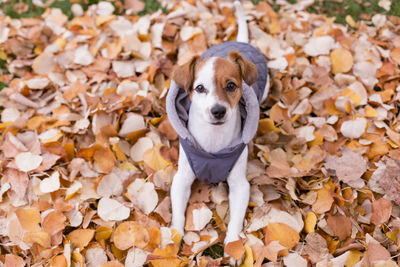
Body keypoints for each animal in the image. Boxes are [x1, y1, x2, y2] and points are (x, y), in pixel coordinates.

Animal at [166, 0, 268, 258]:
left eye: (231, 86)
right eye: (200, 88)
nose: (218, 111)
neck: (212, 143)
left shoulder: (240, 186)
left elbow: (235, 220)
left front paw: (232, 246)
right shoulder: (181, 180)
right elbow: (178, 214)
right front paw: (173, 239)